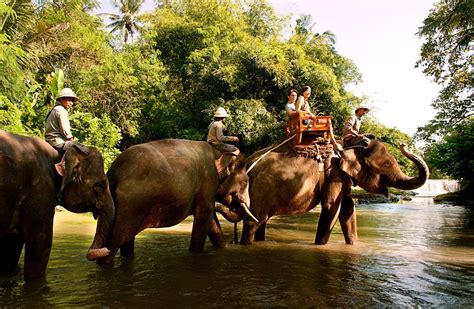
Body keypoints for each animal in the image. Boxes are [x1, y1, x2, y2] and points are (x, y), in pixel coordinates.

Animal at [0, 129, 114, 278]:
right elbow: (41, 243)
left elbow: (12, 244)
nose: (106, 250)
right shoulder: (40, 190)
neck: (59, 156)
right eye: (99, 186)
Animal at [93, 139, 254, 262]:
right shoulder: (208, 181)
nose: (234, 241)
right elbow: (204, 215)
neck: (217, 151)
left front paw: (224, 248)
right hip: (129, 207)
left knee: (126, 240)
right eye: (245, 182)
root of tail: (113, 174)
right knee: (114, 242)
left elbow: (211, 220)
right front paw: (195, 254)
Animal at [217, 138, 428, 244]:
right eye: (387, 164)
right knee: (252, 222)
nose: (403, 144)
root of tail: (247, 165)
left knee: (261, 221)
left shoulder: (342, 177)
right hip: (259, 191)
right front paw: (320, 246)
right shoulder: (333, 174)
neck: (348, 147)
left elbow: (348, 209)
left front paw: (353, 245)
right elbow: (331, 208)